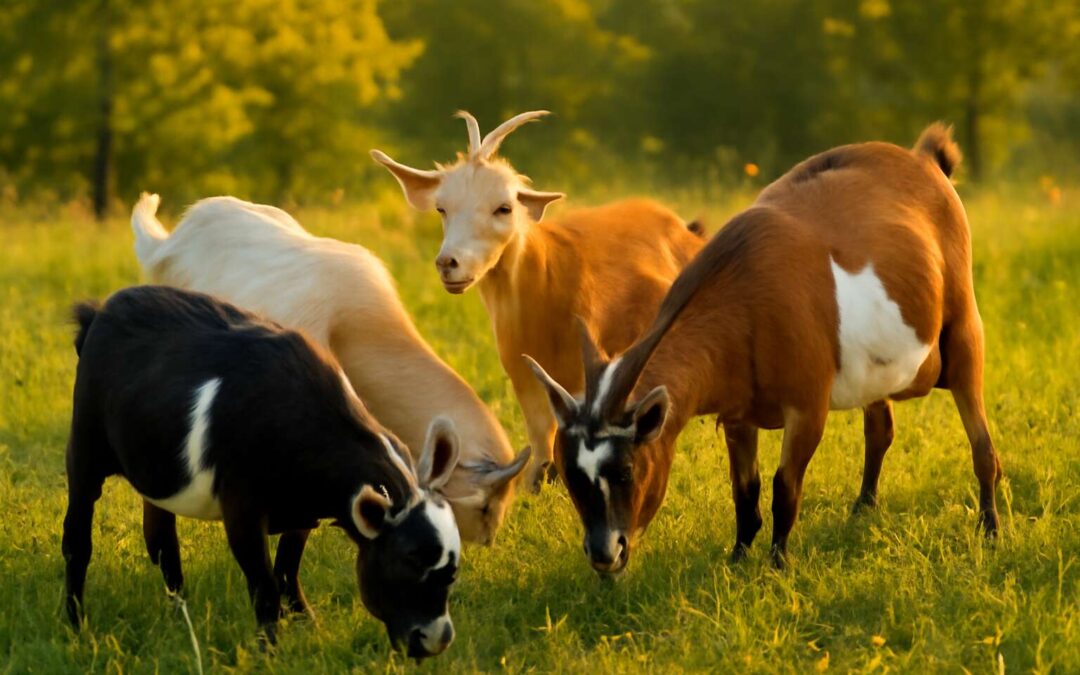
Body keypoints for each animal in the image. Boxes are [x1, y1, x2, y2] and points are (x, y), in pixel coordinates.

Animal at [64, 286, 462, 657]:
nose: (436, 639)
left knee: (162, 539)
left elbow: (287, 568)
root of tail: (101, 309)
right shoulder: (242, 510)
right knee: (77, 541)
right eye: (409, 560)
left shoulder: (303, 513)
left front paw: (307, 622)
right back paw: (76, 624)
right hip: (84, 450)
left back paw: (181, 616)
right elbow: (265, 584)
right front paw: (268, 651)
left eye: (453, 571)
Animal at [526, 124, 1002, 573]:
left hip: (964, 333)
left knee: (982, 444)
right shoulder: (738, 414)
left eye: (625, 471)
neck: (745, 297)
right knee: (880, 428)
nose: (606, 554)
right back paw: (863, 508)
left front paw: (778, 564)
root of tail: (925, 160)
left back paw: (991, 529)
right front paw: (738, 558)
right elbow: (745, 490)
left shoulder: (807, 409)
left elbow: (784, 487)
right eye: (568, 475)